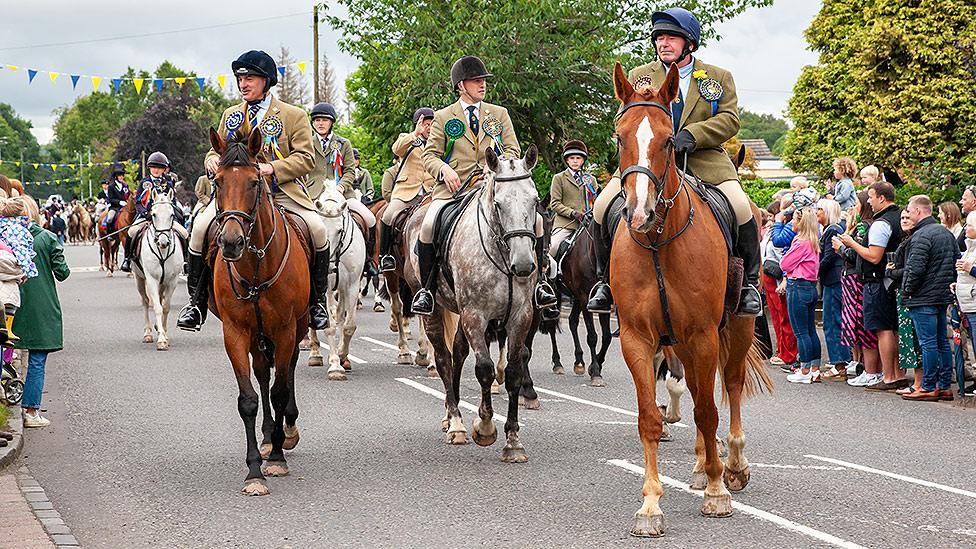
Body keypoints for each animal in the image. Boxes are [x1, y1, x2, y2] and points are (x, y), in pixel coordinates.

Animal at [132, 191, 184, 348]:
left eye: (172, 214)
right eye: (153, 214)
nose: (163, 242)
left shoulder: (172, 281)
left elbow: (165, 306)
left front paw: (164, 334)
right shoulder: (152, 280)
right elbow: (157, 307)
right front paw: (161, 339)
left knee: (160, 299)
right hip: (139, 279)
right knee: (145, 302)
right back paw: (148, 333)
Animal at [207, 126, 308, 494]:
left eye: (254, 182)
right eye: (218, 181)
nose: (231, 243)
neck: (255, 267)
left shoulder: (286, 329)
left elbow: (279, 392)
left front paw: (277, 457)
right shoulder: (235, 332)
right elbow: (249, 398)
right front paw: (254, 470)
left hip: (297, 327)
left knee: (286, 372)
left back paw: (285, 432)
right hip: (256, 336)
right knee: (264, 373)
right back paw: (267, 437)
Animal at [308, 186, 366, 378]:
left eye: (340, 231)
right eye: (320, 229)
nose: (328, 266)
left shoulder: (353, 285)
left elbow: (348, 325)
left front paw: (342, 356)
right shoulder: (324, 288)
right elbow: (330, 326)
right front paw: (334, 365)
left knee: (340, 314)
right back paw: (315, 354)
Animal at [608, 63, 772, 536]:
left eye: (668, 140)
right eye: (619, 136)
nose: (639, 213)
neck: (658, 242)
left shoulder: (703, 333)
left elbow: (708, 411)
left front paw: (718, 493)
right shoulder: (639, 339)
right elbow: (651, 417)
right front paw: (650, 506)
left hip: (734, 329)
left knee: (728, 387)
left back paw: (731, 465)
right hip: (680, 341)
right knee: (698, 390)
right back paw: (702, 466)